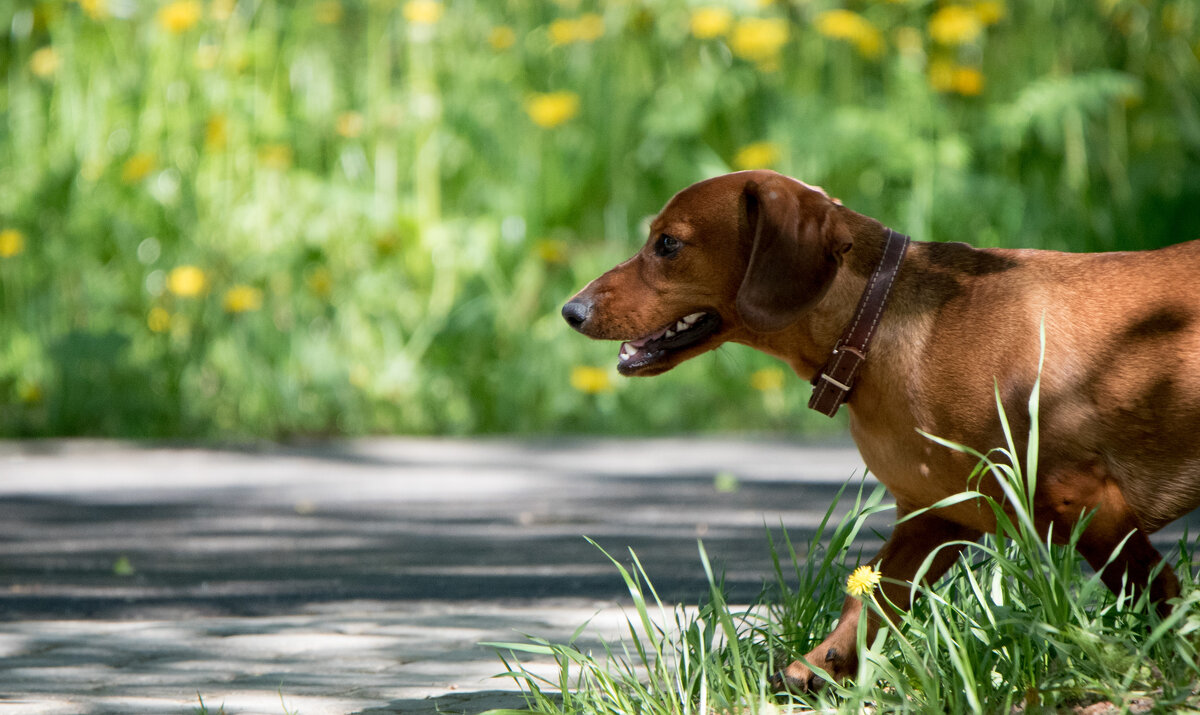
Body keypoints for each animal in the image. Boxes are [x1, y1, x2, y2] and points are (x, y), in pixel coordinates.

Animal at [561, 170, 1200, 691]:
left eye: (668, 243)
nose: (571, 311)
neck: (879, 326)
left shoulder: (1091, 502)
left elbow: (1157, 593)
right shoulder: (931, 516)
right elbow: (867, 606)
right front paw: (816, 668)